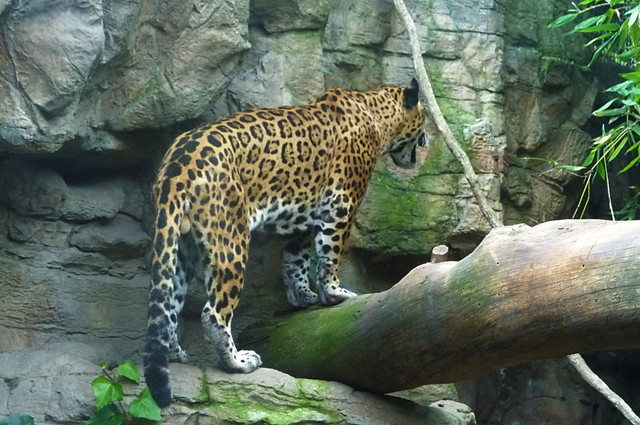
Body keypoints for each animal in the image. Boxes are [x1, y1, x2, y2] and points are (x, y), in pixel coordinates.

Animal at [143, 78, 427, 407]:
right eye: (423, 121)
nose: (425, 142)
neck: (376, 112)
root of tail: (178, 162)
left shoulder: (301, 217)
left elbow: (296, 261)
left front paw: (303, 296)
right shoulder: (341, 202)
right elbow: (331, 251)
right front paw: (335, 293)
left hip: (180, 242)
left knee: (168, 301)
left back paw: (174, 353)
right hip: (231, 239)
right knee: (213, 314)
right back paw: (238, 362)